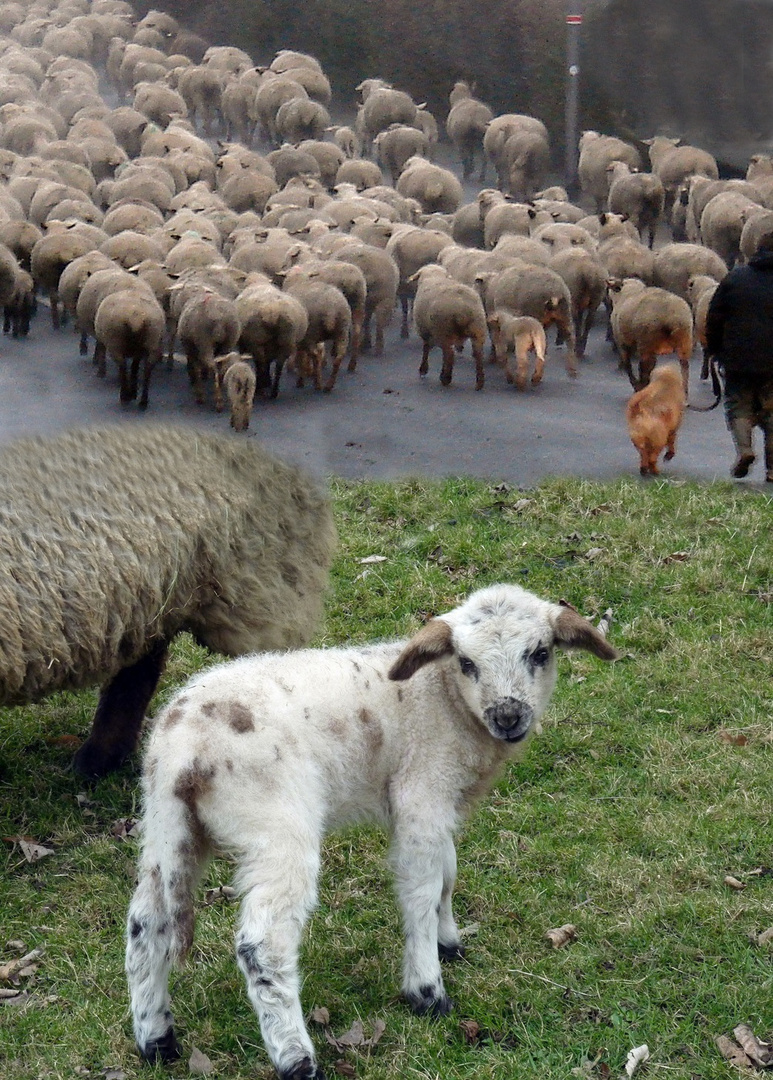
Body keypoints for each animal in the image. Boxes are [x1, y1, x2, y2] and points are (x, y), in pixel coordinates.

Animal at [126, 583, 617, 1080]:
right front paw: (426, 989)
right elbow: (422, 889)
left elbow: (448, 873)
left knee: (146, 925)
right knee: (263, 944)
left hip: (169, 828)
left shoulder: (440, 802)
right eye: (466, 663)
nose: (508, 716)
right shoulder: (421, 791)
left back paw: (156, 1039)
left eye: (540, 653)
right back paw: (296, 1057)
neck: (442, 698)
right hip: (275, 825)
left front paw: (448, 941)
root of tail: (185, 753)